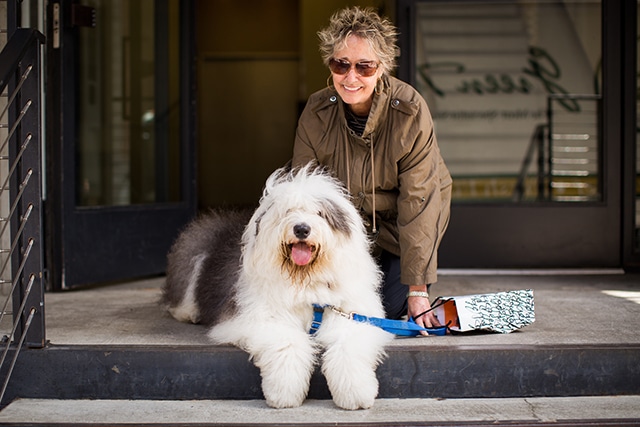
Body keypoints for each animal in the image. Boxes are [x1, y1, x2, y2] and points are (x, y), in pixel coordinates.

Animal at [161, 165, 390, 412]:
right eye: (288, 211)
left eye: (319, 213)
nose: (301, 229)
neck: (305, 282)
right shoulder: (261, 319)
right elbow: (288, 343)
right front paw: (285, 393)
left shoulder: (354, 317)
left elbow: (348, 347)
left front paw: (355, 393)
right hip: (192, 256)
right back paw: (190, 313)